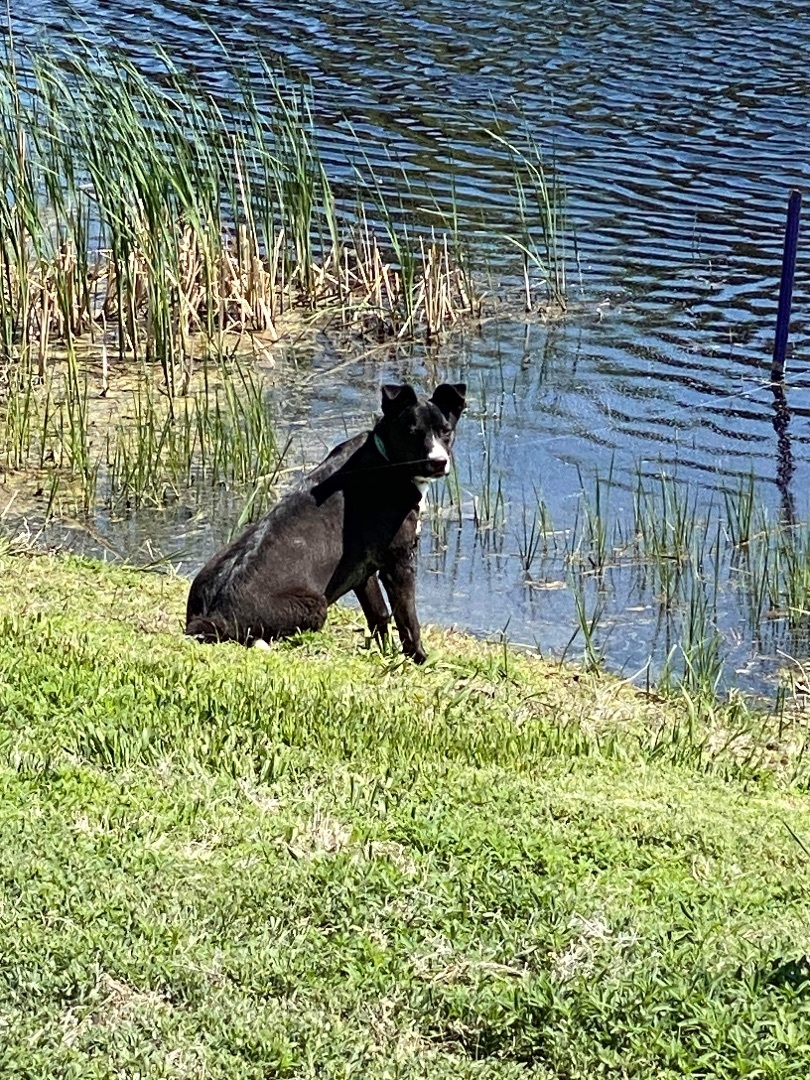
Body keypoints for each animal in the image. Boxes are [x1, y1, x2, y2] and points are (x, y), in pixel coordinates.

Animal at [183, 384, 462, 660]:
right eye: (412, 432)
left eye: (446, 431)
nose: (439, 462)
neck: (387, 460)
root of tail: (212, 615)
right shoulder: (399, 564)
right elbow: (408, 620)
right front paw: (419, 658)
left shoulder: (362, 570)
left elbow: (379, 614)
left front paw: (385, 653)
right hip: (315, 606)